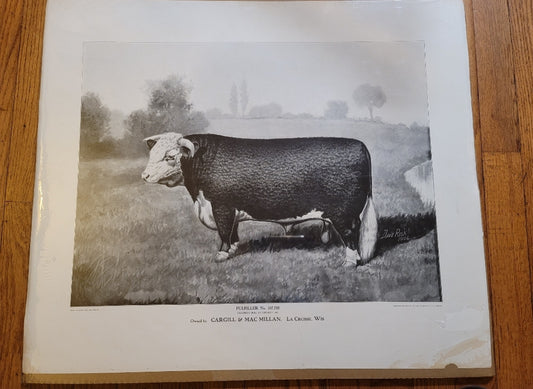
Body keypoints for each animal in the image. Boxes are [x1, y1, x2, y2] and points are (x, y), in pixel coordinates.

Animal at [140, 133, 374, 264]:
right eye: (153, 154)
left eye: (170, 157)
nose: (144, 176)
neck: (199, 200)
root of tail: (360, 145)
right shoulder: (230, 208)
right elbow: (233, 232)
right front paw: (233, 249)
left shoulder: (221, 206)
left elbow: (224, 232)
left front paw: (221, 255)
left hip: (344, 213)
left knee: (351, 234)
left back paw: (350, 262)